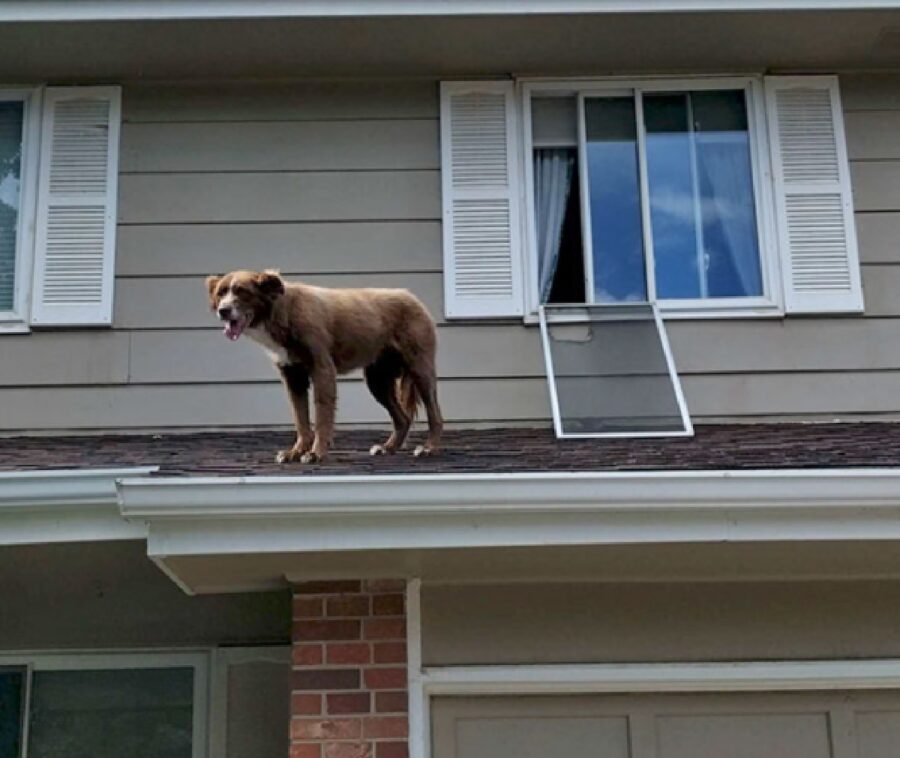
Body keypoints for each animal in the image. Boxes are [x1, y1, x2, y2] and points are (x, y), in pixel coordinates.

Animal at [205, 270, 442, 466]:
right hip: (377, 380)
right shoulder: (293, 377)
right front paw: (296, 452)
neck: (284, 311)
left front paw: (315, 453)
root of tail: (411, 297)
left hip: (420, 369)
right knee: (403, 419)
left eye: (242, 291)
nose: (223, 310)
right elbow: (300, 418)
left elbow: (321, 415)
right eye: (220, 293)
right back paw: (388, 447)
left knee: (435, 414)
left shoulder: (323, 370)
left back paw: (429, 448)